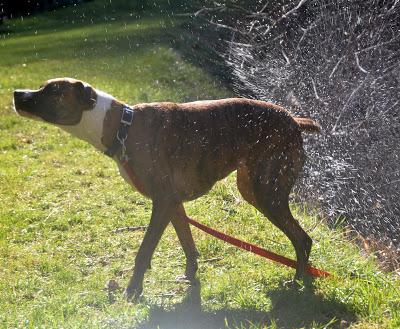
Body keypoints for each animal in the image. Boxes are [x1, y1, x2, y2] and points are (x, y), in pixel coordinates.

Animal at [13, 78, 322, 298]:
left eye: (52, 91)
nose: (16, 93)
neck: (123, 127)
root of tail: (294, 120)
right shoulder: (173, 203)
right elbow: (188, 242)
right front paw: (189, 277)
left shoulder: (162, 201)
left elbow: (144, 250)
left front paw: (133, 291)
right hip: (254, 189)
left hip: (264, 192)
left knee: (302, 239)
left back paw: (297, 282)